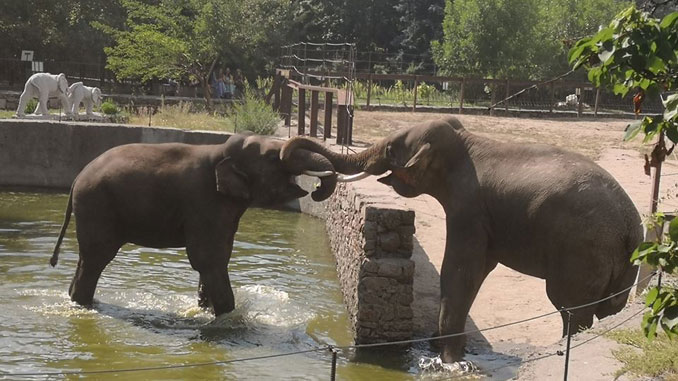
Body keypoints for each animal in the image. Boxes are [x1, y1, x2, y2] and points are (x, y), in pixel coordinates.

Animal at [50, 134, 354, 314]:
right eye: (271, 157)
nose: (316, 190)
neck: (220, 152)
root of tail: (77, 178)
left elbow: (216, 259)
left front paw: (205, 311)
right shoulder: (203, 201)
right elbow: (209, 259)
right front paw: (227, 318)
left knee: (89, 261)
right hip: (97, 206)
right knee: (96, 259)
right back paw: (84, 305)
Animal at [282, 116, 644, 362]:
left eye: (391, 149)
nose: (315, 188)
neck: (465, 140)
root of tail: (630, 227)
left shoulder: (469, 209)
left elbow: (459, 269)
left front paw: (447, 359)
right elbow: (477, 271)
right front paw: (442, 347)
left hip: (582, 252)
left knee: (570, 306)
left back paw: (564, 346)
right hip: (619, 264)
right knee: (608, 308)